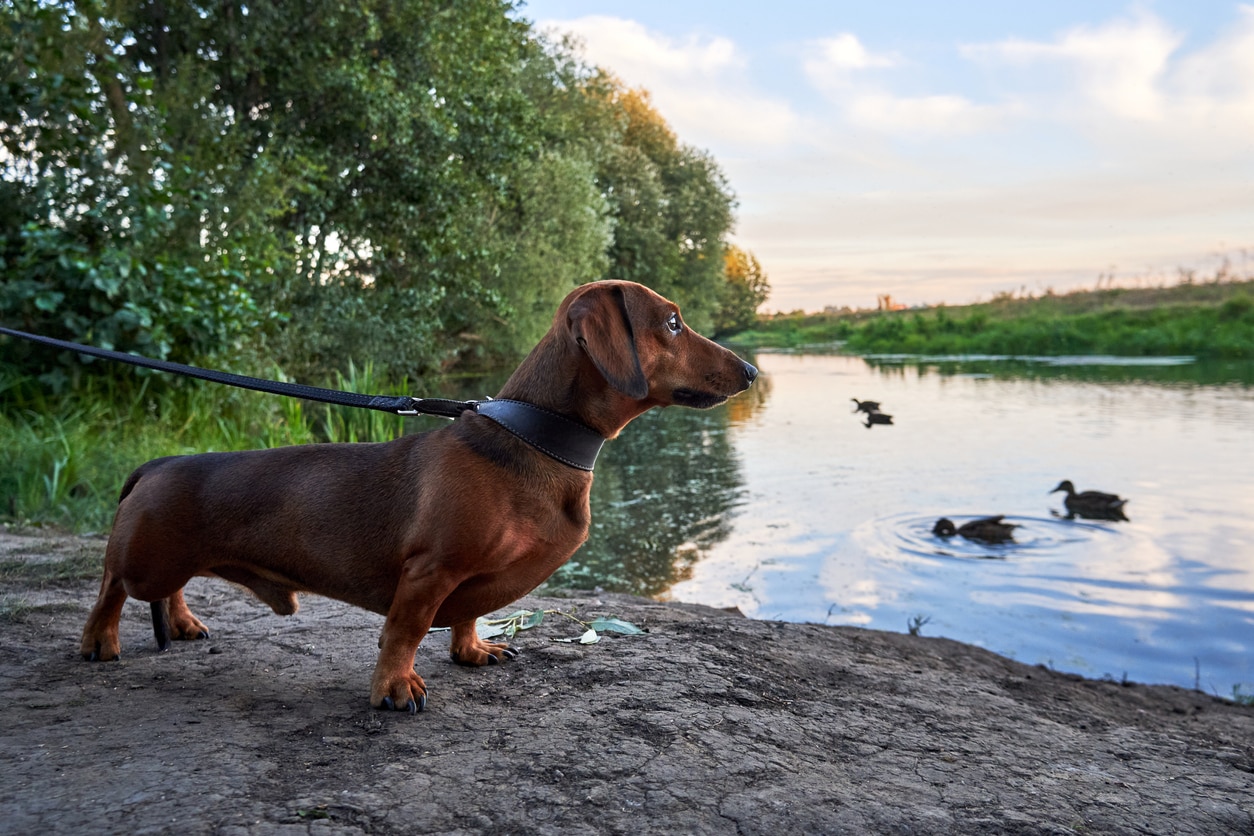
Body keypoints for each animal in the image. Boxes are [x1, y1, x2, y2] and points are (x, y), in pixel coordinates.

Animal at [85, 280, 762, 711]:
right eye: (672, 322)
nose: (753, 372)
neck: (534, 439)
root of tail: (160, 462)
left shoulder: (466, 579)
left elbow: (466, 615)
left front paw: (473, 650)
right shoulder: (431, 570)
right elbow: (405, 633)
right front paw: (393, 687)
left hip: (167, 562)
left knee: (165, 589)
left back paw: (182, 623)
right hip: (147, 559)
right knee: (113, 586)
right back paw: (100, 640)